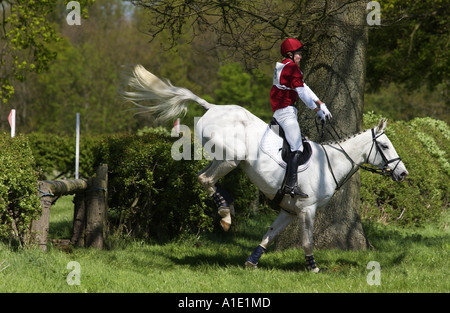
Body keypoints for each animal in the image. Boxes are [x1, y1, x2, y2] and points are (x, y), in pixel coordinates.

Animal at [123, 64, 408, 272]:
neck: (330, 164)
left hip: (223, 158)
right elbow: (307, 241)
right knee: (205, 180)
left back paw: (226, 209)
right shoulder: (307, 209)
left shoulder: (289, 211)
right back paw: (226, 213)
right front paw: (313, 268)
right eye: (384, 145)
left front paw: (252, 261)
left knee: (203, 177)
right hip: (231, 159)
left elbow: (268, 235)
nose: (403, 173)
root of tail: (212, 107)